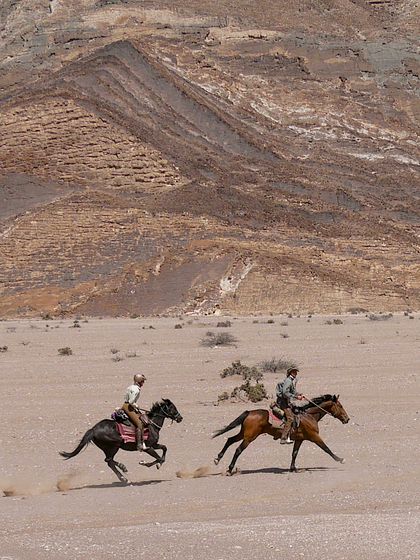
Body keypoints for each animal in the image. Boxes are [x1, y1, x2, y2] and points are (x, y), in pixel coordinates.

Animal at [213, 396, 348, 474]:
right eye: (340, 406)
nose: (347, 419)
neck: (309, 415)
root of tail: (249, 412)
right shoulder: (314, 437)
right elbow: (326, 449)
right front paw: (340, 459)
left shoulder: (300, 439)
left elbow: (294, 453)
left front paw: (293, 468)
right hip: (249, 437)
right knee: (238, 450)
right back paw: (229, 469)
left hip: (243, 434)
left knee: (230, 440)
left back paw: (218, 459)